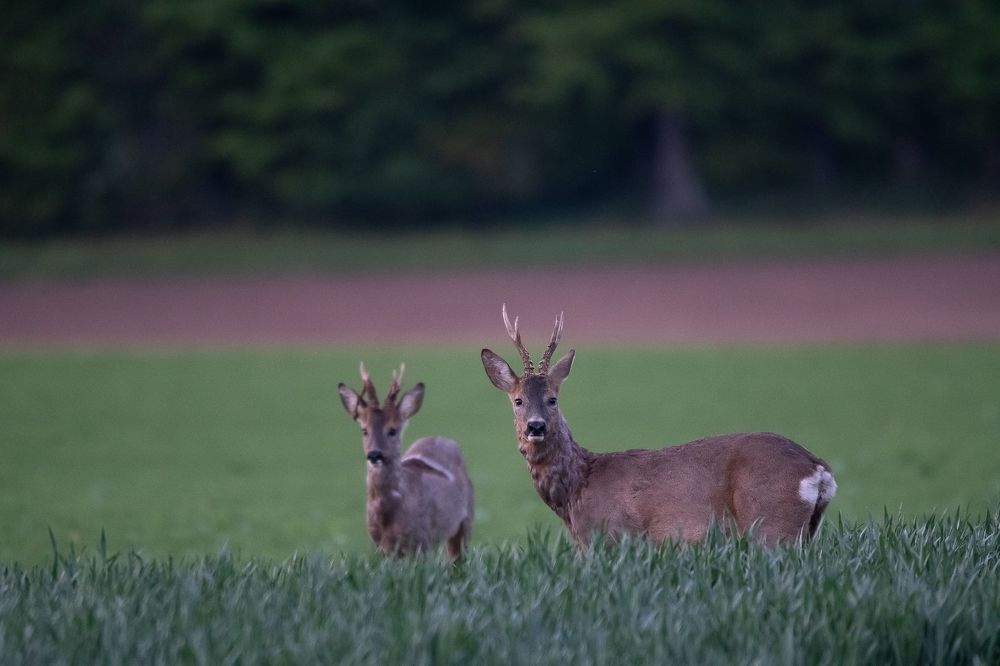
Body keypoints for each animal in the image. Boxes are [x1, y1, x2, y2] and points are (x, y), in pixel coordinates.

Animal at [338, 363, 474, 559]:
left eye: (392, 430)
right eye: (364, 430)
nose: (374, 455)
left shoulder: (422, 538)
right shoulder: (381, 545)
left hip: (466, 518)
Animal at [481, 305, 837, 548]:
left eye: (552, 399)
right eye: (518, 401)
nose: (535, 427)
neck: (576, 491)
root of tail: (818, 468)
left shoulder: (610, 536)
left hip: (771, 522)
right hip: (807, 531)